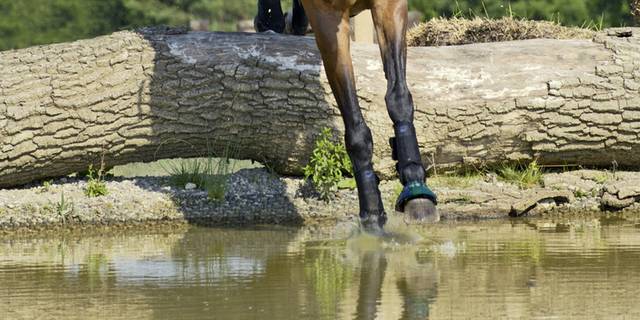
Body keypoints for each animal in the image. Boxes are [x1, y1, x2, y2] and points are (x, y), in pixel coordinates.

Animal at [258, 0, 438, 231]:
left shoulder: (389, 6)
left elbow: (398, 97)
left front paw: (415, 188)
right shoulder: (327, 20)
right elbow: (355, 128)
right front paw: (371, 212)